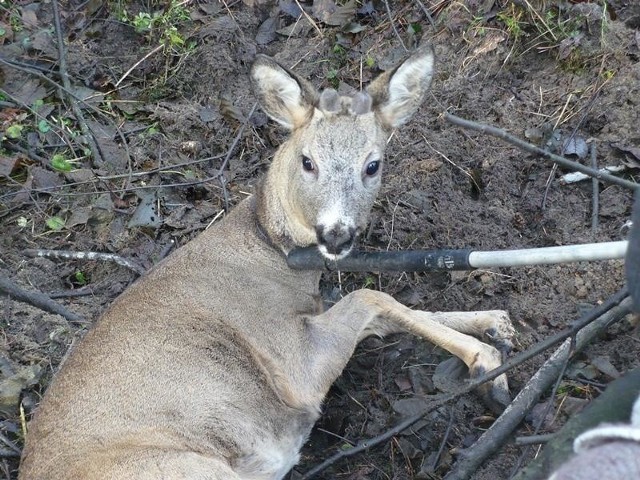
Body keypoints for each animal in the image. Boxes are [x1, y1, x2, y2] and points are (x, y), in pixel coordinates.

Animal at [18, 46, 516, 480]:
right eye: (308, 161)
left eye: (372, 165)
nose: (336, 234)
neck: (267, 243)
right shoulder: (292, 365)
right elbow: (373, 296)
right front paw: (487, 363)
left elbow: (397, 310)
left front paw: (495, 322)